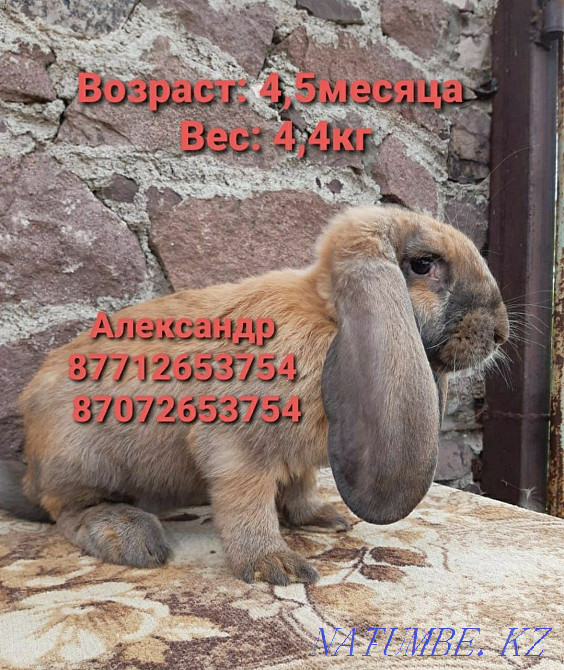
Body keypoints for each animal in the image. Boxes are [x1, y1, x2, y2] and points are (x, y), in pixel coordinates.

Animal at [0, 205, 509, 585]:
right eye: (423, 264)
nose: (501, 332)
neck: (329, 321)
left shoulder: (300, 461)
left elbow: (300, 487)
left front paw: (323, 518)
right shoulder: (236, 449)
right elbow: (247, 507)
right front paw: (275, 567)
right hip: (82, 460)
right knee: (67, 512)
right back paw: (129, 537)